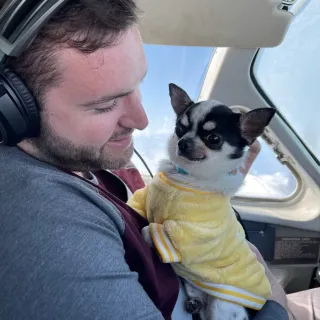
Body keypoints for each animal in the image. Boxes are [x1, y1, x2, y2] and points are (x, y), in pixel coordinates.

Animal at [127, 83, 276, 320]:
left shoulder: (191, 233)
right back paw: (195, 302)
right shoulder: (144, 198)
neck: (187, 175)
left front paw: (148, 235)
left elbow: (152, 229)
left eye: (214, 139)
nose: (183, 142)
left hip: (222, 307)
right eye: (180, 128)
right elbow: (135, 204)